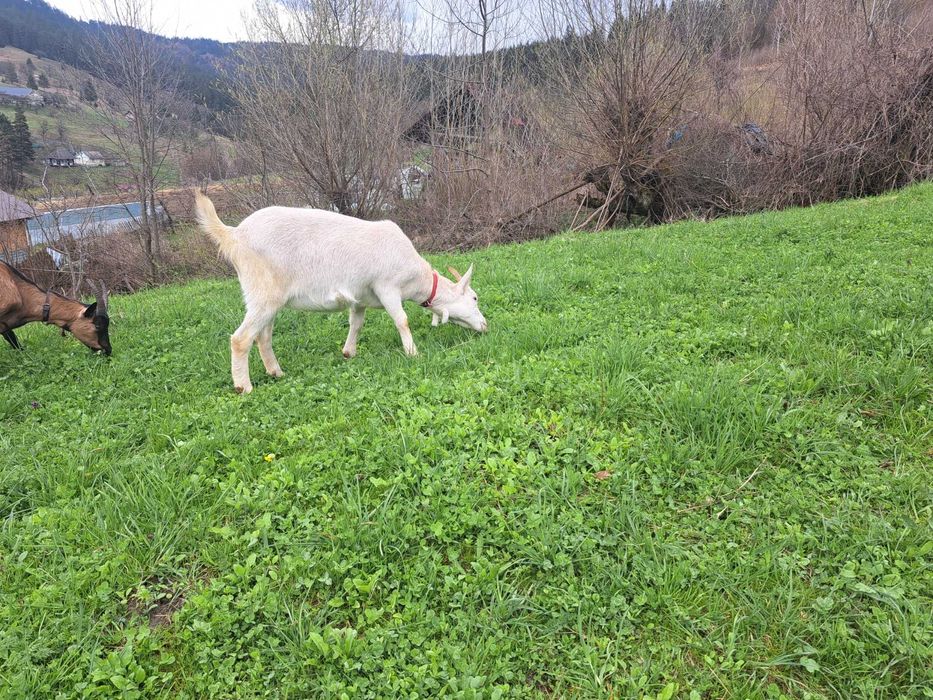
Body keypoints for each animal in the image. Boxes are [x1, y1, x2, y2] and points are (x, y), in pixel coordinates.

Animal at [193, 191, 487, 394]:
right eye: (474, 298)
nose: (485, 326)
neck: (416, 277)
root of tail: (234, 235)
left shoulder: (361, 296)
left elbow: (356, 322)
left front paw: (349, 352)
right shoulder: (387, 286)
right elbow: (401, 320)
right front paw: (413, 352)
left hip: (267, 298)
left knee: (262, 336)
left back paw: (276, 372)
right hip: (262, 292)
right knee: (241, 339)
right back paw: (244, 386)